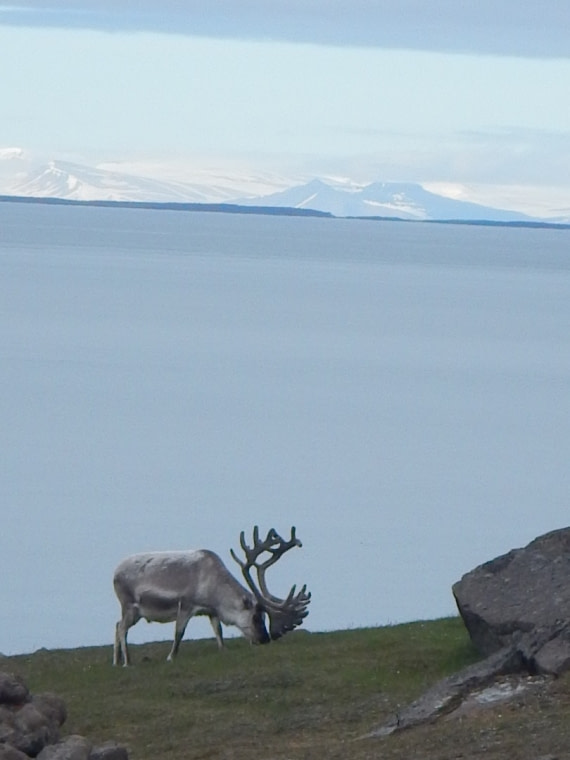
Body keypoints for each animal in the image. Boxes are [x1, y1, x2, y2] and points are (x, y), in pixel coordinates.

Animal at [112, 526, 311, 665]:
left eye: (262, 616)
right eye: (255, 616)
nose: (265, 639)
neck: (214, 589)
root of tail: (115, 572)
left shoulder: (211, 611)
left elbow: (218, 631)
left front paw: (223, 650)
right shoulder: (186, 605)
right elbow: (179, 632)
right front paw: (171, 657)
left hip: (135, 612)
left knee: (117, 625)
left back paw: (116, 661)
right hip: (129, 605)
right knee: (122, 628)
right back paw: (127, 662)